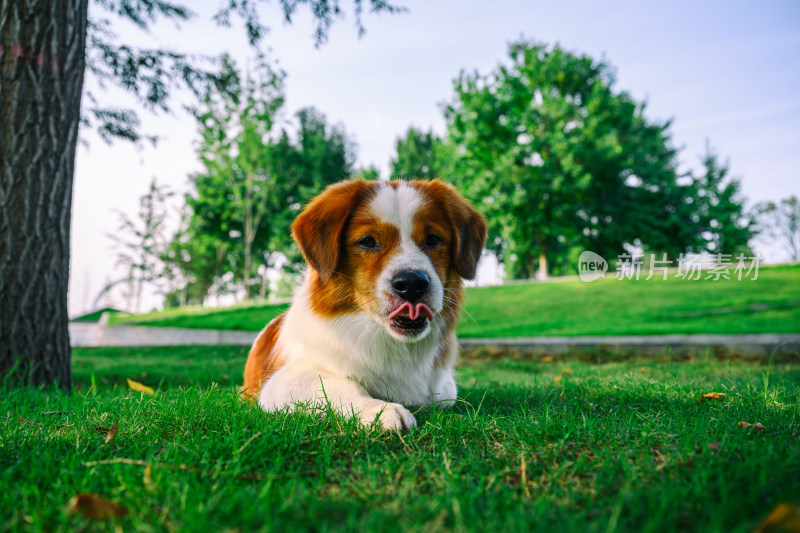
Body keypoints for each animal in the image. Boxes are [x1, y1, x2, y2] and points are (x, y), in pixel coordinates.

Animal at [239, 178, 488, 428]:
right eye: (367, 241)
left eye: (433, 239)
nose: (412, 283)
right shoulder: (280, 383)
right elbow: (341, 384)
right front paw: (379, 409)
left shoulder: (444, 387)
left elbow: (443, 397)